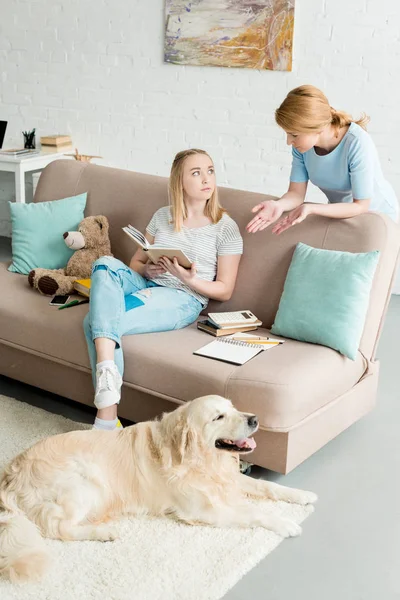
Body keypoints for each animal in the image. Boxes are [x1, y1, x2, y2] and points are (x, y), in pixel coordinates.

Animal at [0, 394, 318, 580]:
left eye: (234, 408)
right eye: (218, 416)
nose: (255, 419)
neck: (196, 460)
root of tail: (13, 472)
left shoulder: (227, 478)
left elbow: (266, 487)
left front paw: (302, 494)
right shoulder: (202, 510)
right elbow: (253, 512)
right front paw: (286, 523)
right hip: (86, 482)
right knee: (59, 528)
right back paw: (104, 532)